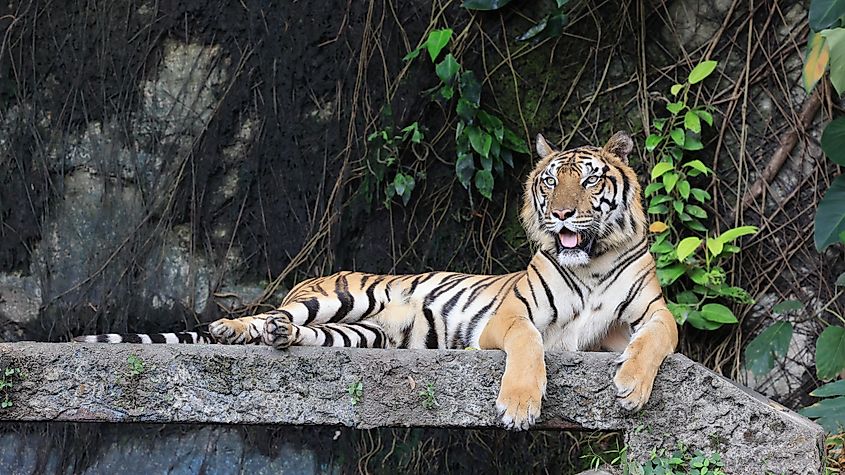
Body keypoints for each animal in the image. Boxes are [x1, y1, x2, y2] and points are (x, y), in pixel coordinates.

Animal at [75, 131, 679, 430]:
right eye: (551, 182)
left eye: (590, 181)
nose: (560, 215)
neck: (591, 262)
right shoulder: (512, 315)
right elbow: (529, 343)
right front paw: (520, 406)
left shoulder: (649, 312)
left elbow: (659, 338)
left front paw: (630, 387)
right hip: (336, 297)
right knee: (269, 313)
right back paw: (233, 329)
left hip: (360, 334)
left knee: (300, 332)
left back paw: (277, 336)